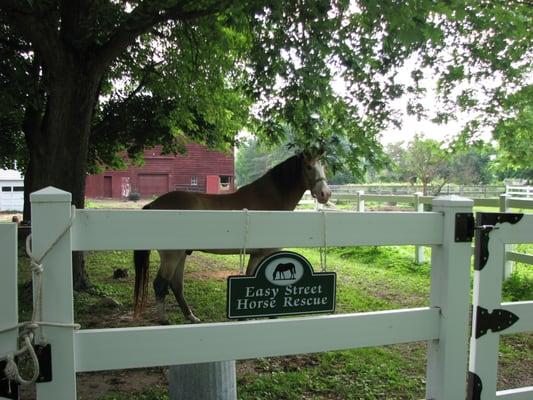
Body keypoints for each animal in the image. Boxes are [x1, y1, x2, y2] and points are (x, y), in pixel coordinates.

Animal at [133, 149, 330, 322]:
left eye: (324, 167)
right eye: (309, 167)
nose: (325, 194)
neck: (269, 201)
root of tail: (154, 205)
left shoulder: (255, 254)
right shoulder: (266, 254)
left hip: (181, 254)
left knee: (176, 285)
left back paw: (191, 317)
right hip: (172, 256)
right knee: (160, 284)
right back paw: (164, 320)